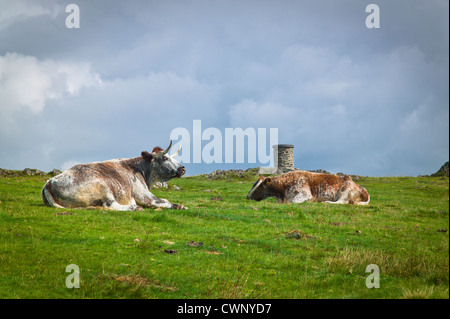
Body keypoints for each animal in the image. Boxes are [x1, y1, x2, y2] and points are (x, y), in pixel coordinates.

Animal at [41, 141, 186, 211]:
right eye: (165, 158)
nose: (182, 168)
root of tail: (49, 183)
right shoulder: (144, 196)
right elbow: (164, 201)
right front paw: (179, 206)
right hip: (103, 186)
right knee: (110, 205)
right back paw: (134, 208)